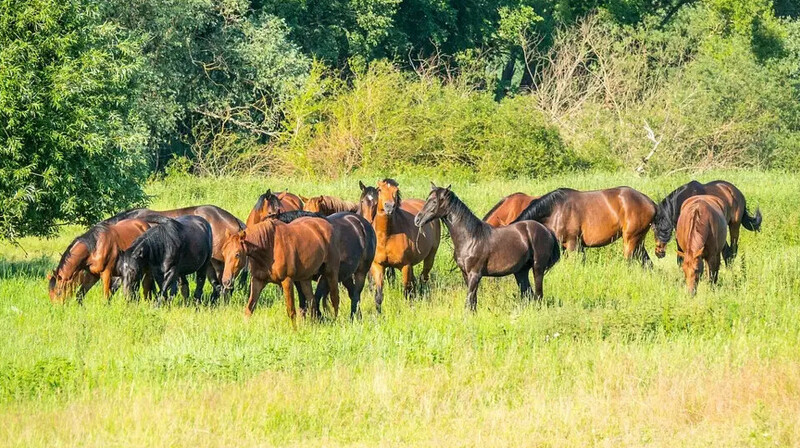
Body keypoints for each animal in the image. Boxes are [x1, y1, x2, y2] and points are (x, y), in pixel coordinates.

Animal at [360, 178, 440, 312]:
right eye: (380, 190)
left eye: (396, 191)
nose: (389, 206)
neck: (387, 236)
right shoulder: (378, 266)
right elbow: (378, 295)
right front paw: (378, 314)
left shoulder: (405, 266)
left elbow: (407, 291)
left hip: (430, 256)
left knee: (423, 278)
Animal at [416, 184, 560, 310]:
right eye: (427, 199)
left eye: (434, 201)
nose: (417, 219)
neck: (471, 237)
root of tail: (547, 230)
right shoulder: (465, 274)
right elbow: (473, 302)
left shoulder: (475, 275)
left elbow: (469, 301)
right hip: (520, 271)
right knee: (528, 294)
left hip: (538, 268)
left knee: (538, 295)